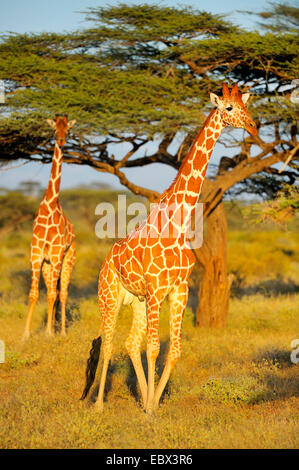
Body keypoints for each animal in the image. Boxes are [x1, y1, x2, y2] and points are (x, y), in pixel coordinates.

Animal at [81, 82, 258, 414]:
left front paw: (152, 404)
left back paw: (139, 398)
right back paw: (98, 405)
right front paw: (150, 408)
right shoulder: (157, 289)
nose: (254, 126)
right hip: (108, 297)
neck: (178, 222)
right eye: (228, 108)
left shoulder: (179, 289)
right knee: (108, 342)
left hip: (137, 301)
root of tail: (105, 263)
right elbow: (154, 348)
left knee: (129, 343)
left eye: (245, 105)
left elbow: (172, 350)